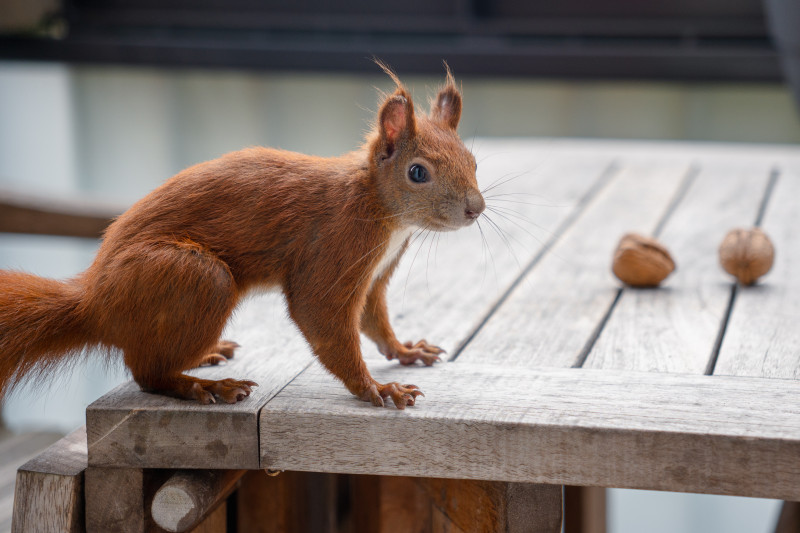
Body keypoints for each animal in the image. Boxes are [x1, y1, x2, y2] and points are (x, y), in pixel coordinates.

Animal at [0, 64, 482, 410]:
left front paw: (407, 350)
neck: (380, 207)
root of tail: (94, 304)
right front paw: (378, 390)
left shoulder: (375, 274)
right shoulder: (335, 248)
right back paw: (206, 387)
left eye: (473, 160)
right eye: (417, 172)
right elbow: (323, 318)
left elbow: (375, 321)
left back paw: (206, 355)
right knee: (146, 374)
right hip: (194, 276)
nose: (475, 209)